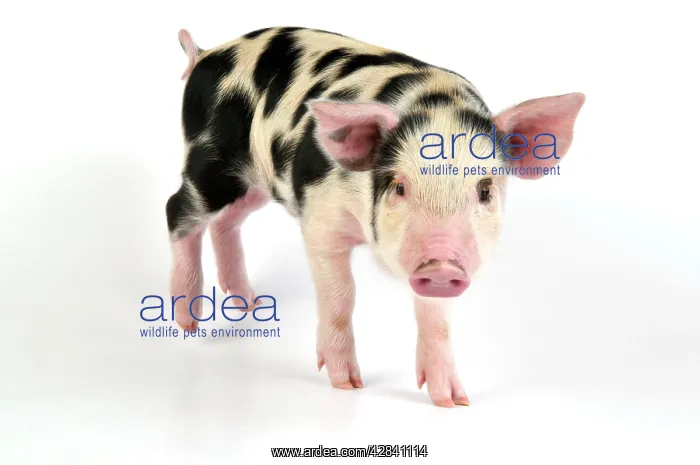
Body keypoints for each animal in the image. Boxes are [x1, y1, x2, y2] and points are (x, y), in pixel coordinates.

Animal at [167, 27, 585, 407]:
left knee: (226, 222)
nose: (441, 264)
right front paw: (349, 385)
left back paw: (249, 305)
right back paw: (189, 321)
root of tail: (205, 56)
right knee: (178, 212)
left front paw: (453, 401)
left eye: (484, 190)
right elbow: (341, 295)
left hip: (254, 184)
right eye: (399, 186)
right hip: (211, 162)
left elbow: (437, 318)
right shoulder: (319, 219)